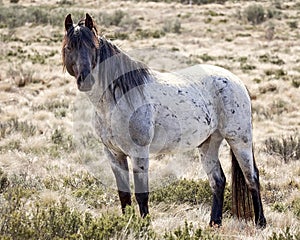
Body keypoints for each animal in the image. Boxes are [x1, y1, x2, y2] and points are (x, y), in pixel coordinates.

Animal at [62, 13, 266, 229]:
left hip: (239, 139)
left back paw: (260, 222)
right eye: (69, 47)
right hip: (208, 143)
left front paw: (145, 227)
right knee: (218, 181)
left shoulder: (139, 152)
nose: (86, 80)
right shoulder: (114, 154)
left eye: (93, 47)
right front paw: (127, 224)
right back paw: (214, 223)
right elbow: (124, 194)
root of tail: (235, 80)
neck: (116, 101)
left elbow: (141, 194)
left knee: (252, 177)